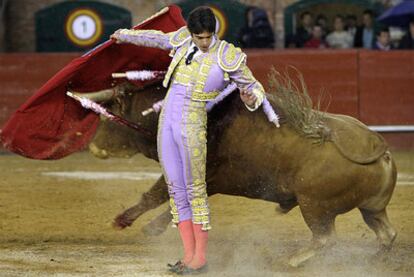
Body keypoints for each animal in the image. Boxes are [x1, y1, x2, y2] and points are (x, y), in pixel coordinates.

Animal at [79, 72, 396, 266]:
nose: (93, 147)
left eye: (110, 113)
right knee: (386, 233)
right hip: (371, 208)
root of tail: (378, 146)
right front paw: (152, 228)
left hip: (314, 206)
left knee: (325, 238)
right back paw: (375, 260)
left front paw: (123, 220)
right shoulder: (208, 180)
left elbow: (156, 195)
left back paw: (289, 261)